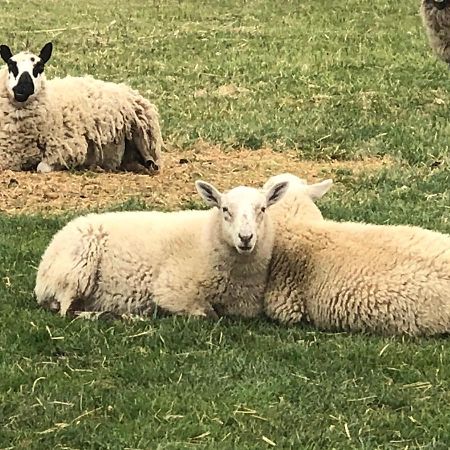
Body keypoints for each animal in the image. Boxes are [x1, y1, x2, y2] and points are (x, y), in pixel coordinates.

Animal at [0, 42, 162, 173]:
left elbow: (42, 167)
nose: (22, 89)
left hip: (141, 131)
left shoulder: (66, 149)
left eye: (40, 67)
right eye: (11, 65)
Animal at [35, 178, 288, 318]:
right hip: (76, 273)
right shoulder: (173, 291)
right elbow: (207, 314)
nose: (245, 238)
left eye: (263, 209)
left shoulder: (244, 309)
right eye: (225, 209)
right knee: (67, 311)